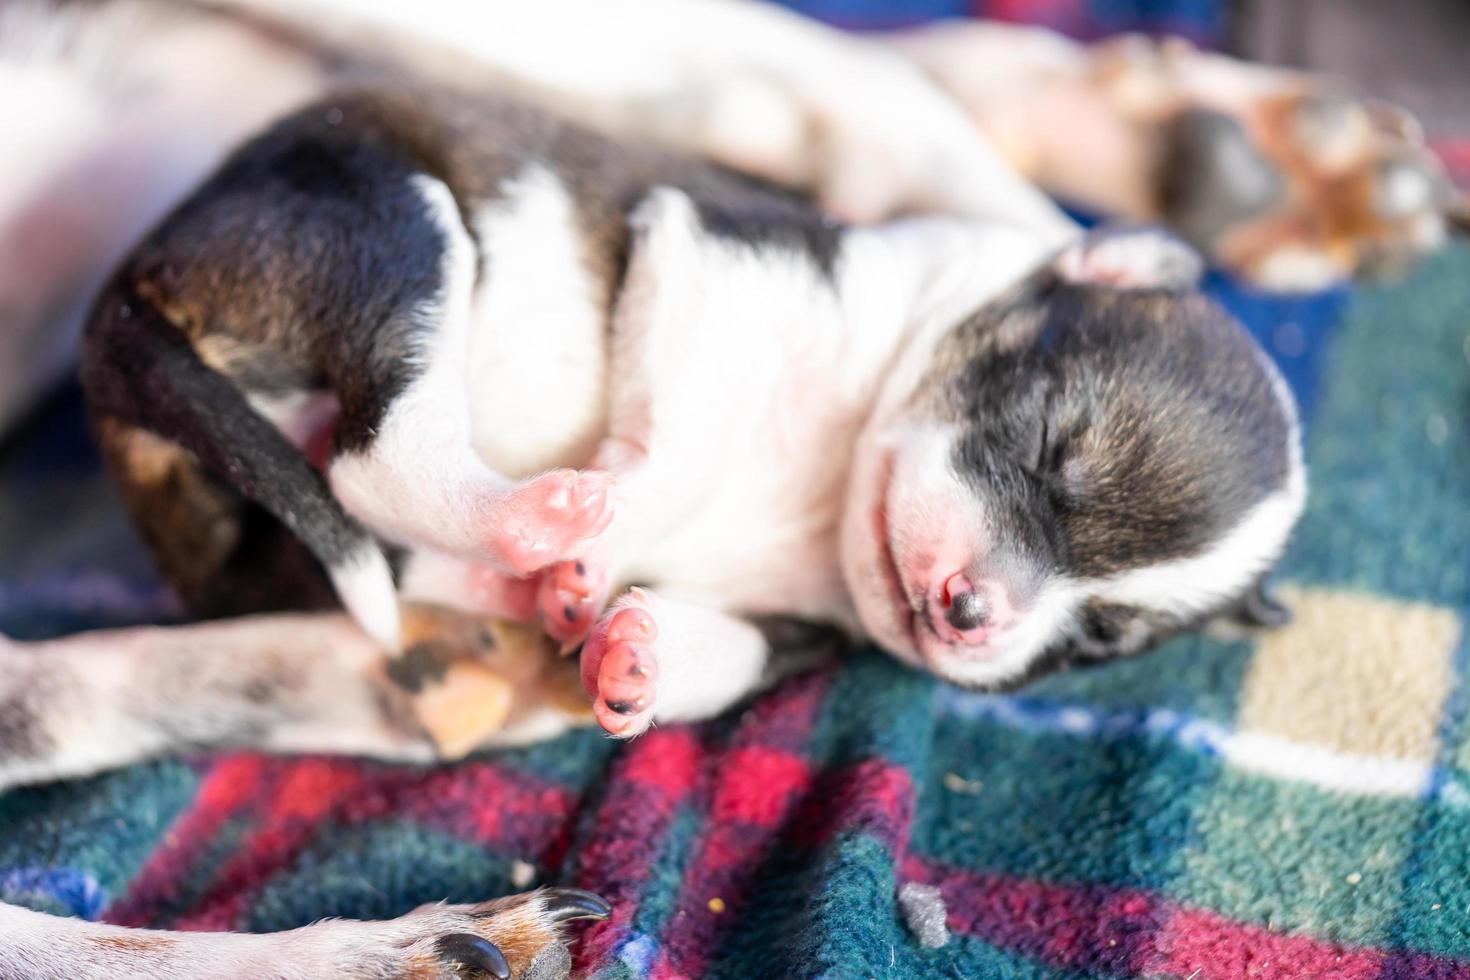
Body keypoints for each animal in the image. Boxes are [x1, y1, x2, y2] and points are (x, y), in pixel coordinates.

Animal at [74, 82, 1305, 743]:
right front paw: (607, 537)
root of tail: (122, 294)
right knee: (373, 458)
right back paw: (538, 523)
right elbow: (693, 443)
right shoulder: (709, 254)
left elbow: (732, 650)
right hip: (395, 223)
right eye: (1051, 445)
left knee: (356, 524)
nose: (972, 613)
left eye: (1100, 638)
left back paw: (514, 585)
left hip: (267, 521)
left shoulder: (809, 633)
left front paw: (635, 652)